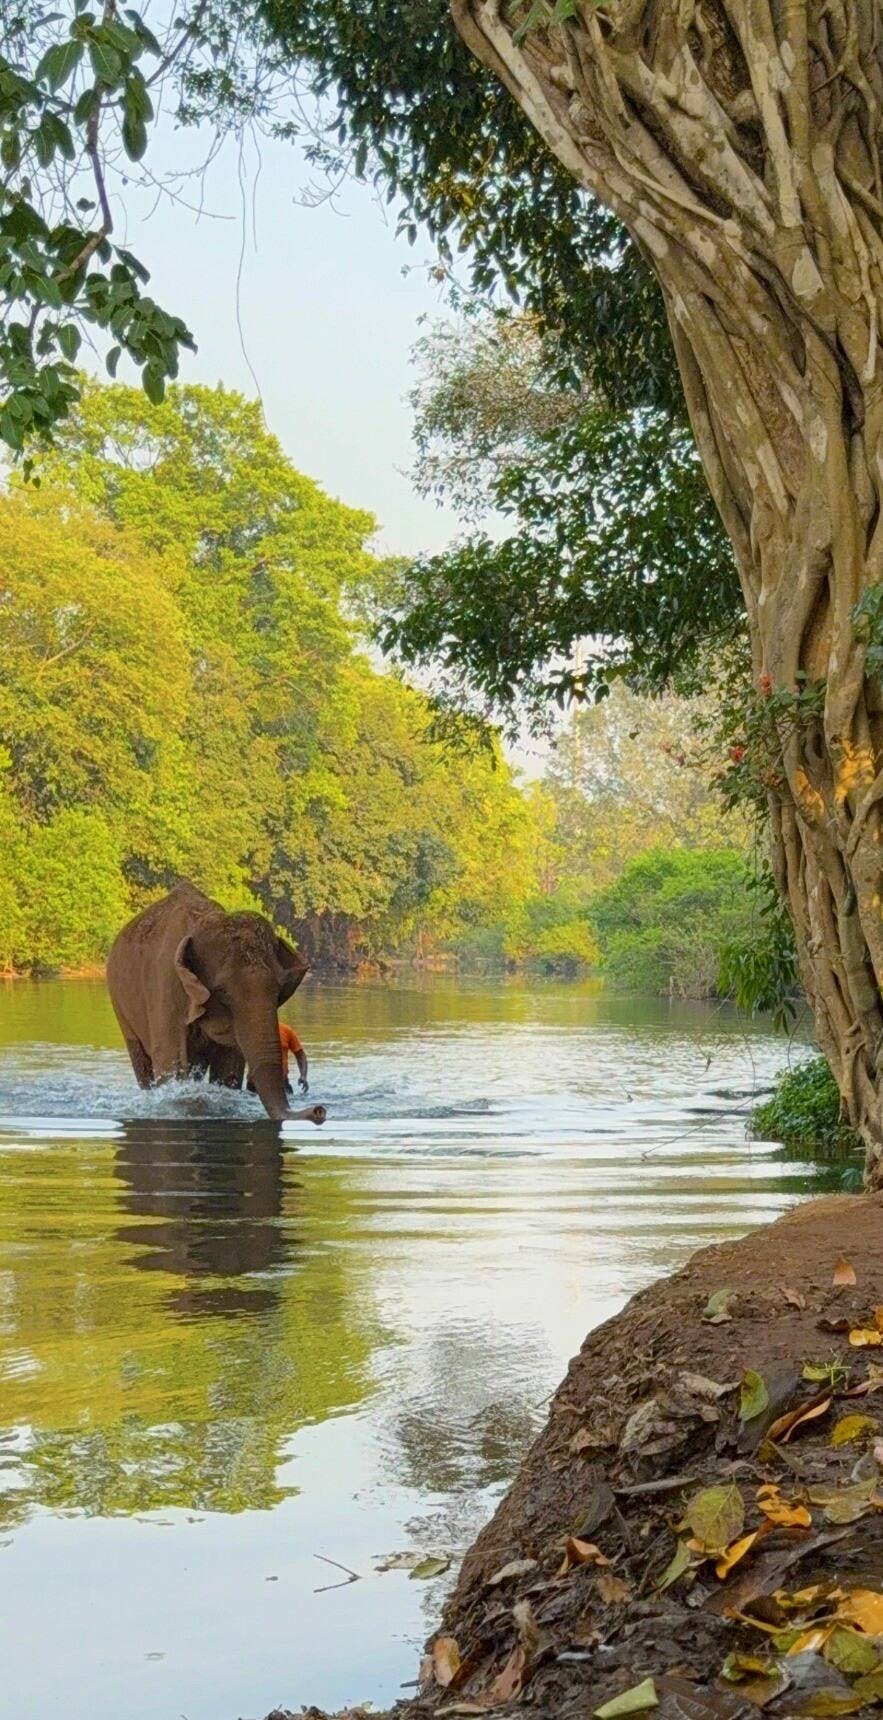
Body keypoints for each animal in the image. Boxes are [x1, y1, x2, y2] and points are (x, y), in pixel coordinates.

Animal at [106, 882, 326, 1124]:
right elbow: (171, 1062)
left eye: (277, 991)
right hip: (120, 1005)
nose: (319, 1110)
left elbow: (228, 1067)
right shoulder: (165, 987)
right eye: (223, 992)